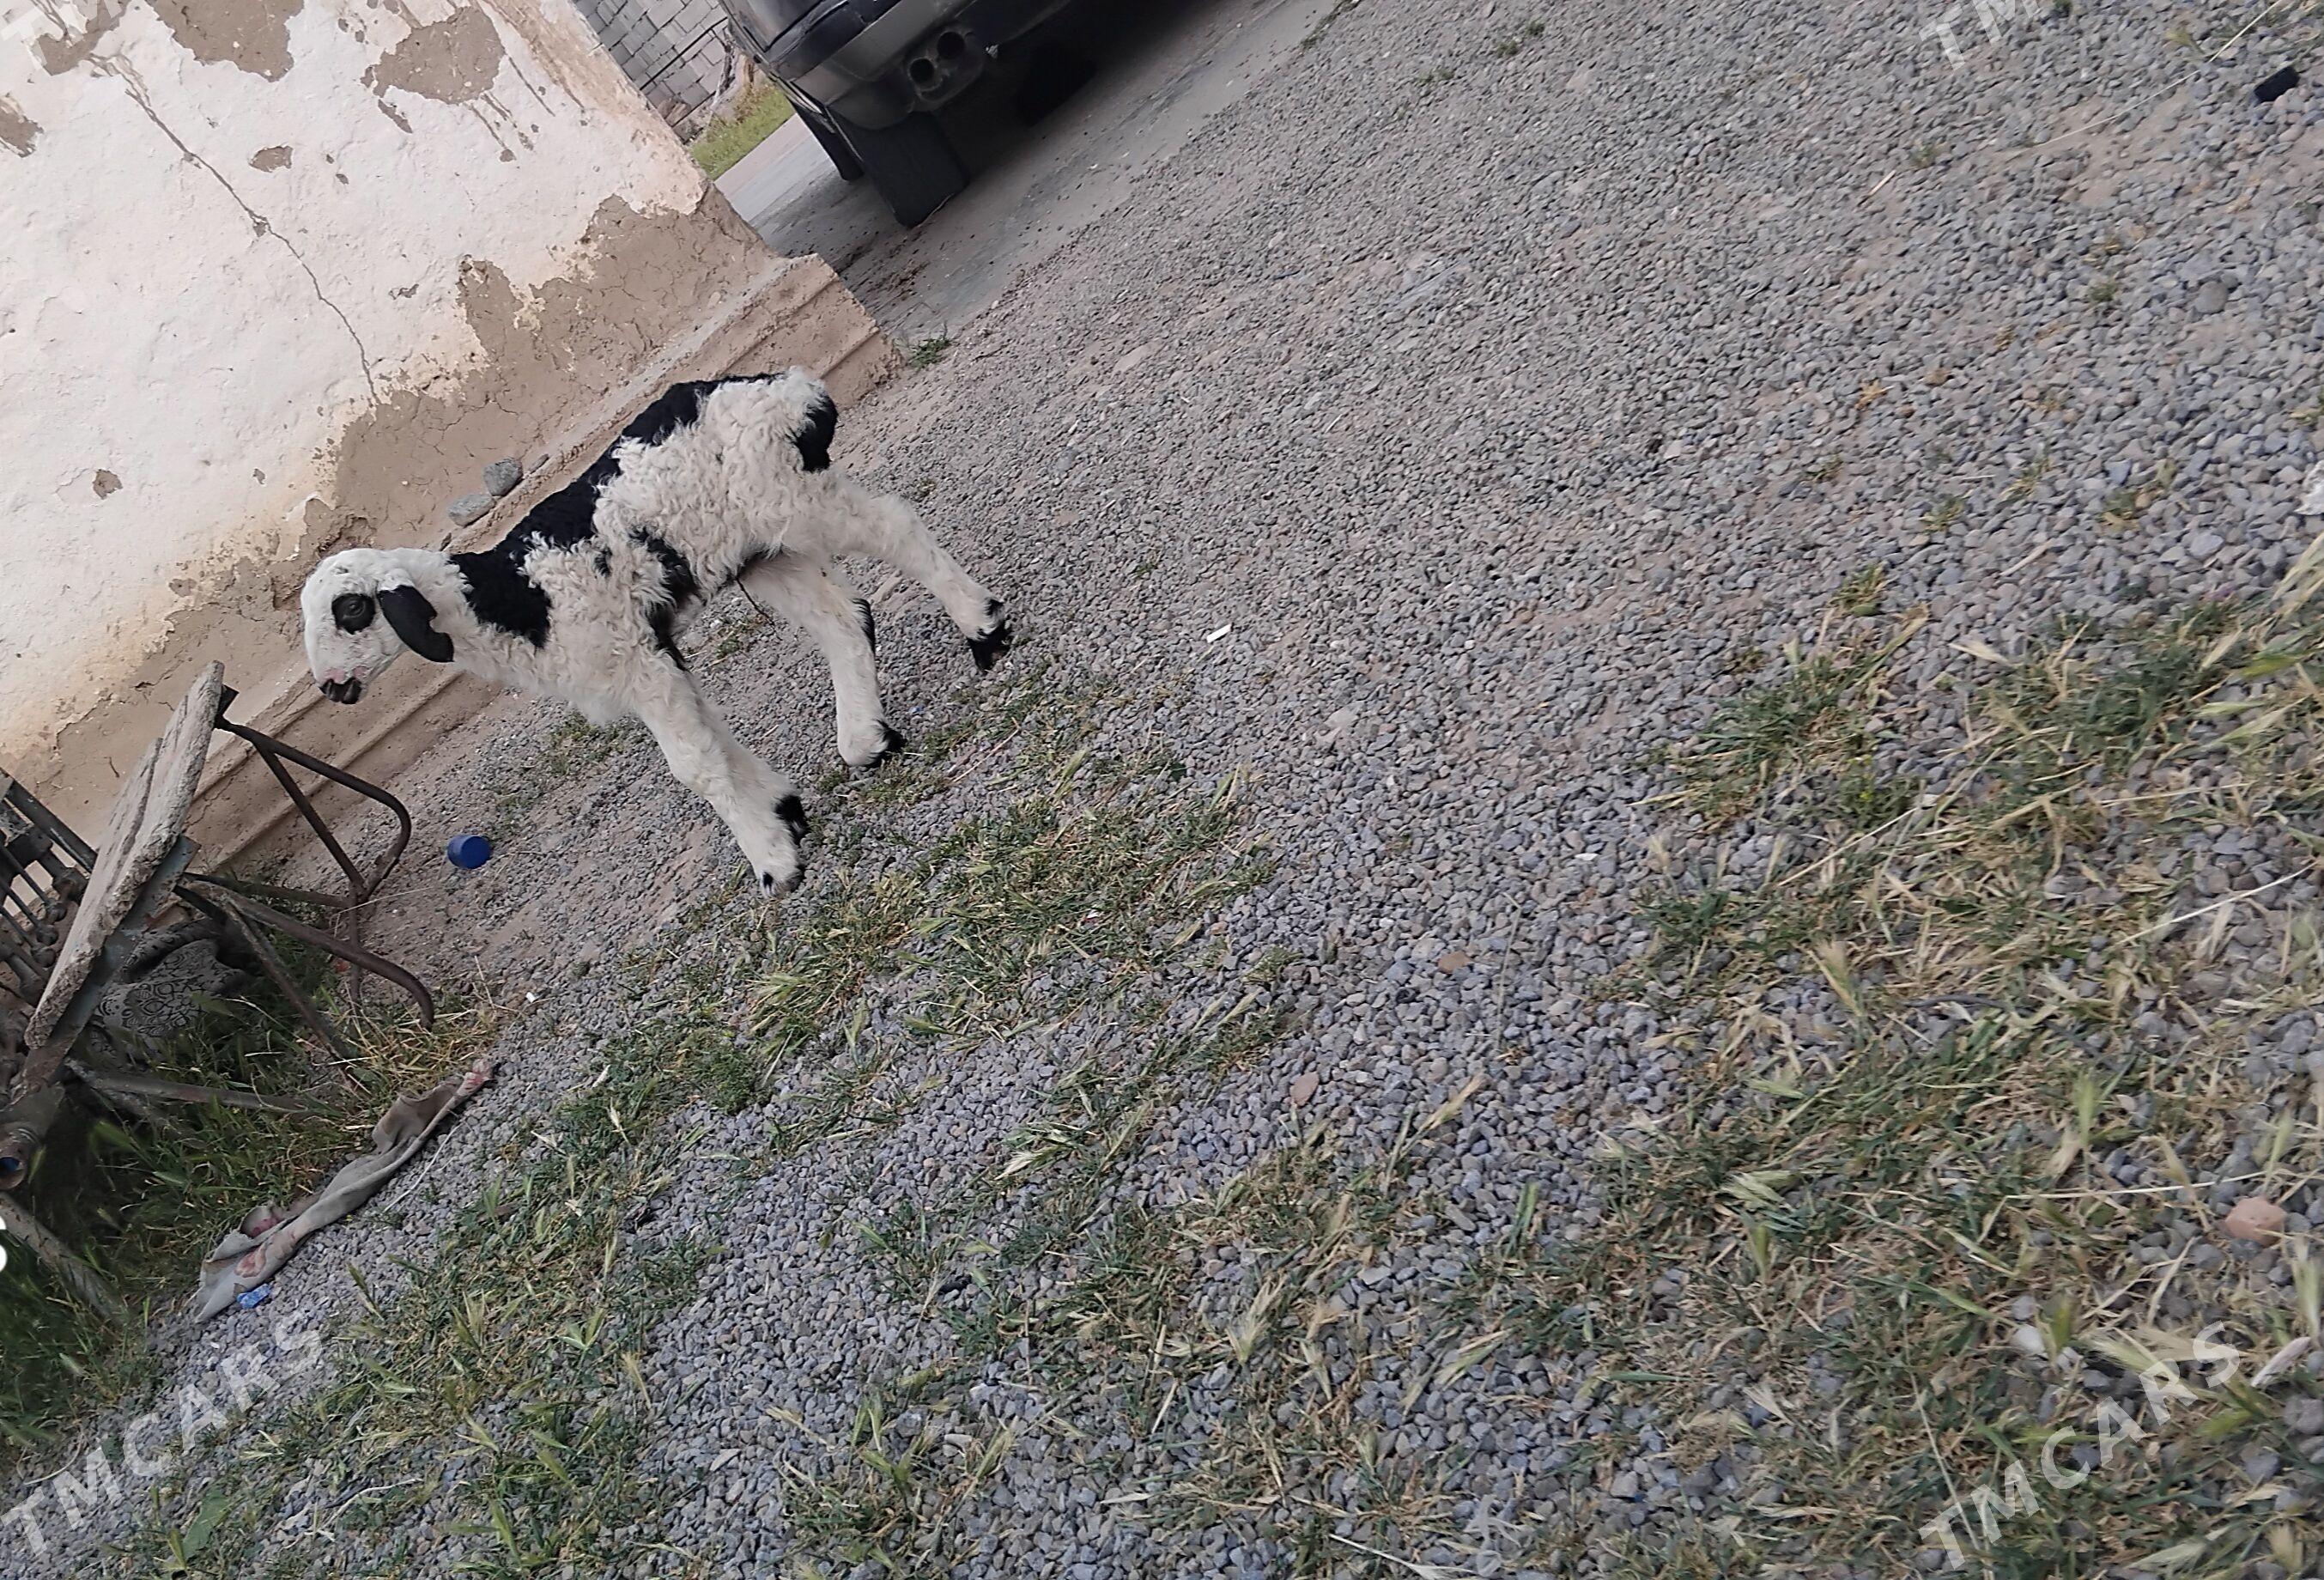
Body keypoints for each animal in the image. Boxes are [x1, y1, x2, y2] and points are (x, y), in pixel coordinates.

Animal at [298, 370, 1011, 896]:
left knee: (895, 527)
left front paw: (774, 864)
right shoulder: (656, 660)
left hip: (798, 500)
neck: (519, 599)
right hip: (763, 549)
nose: (333, 687)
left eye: (352, 610)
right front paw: (783, 814)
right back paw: (866, 739)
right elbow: (714, 740)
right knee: (843, 618)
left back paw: (984, 631)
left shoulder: (638, 661)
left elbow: (692, 766)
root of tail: (787, 388)